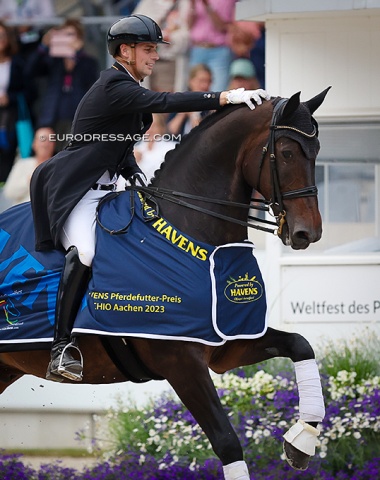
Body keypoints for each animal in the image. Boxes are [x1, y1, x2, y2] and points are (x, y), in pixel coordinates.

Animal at [0, 88, 330, 478]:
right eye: (288, 152)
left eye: (317, 150)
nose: (308, 233)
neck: (193, 231)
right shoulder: (180, 360)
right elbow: (227, 442)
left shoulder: (227, 344)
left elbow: (300, 344)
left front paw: (302, 440)